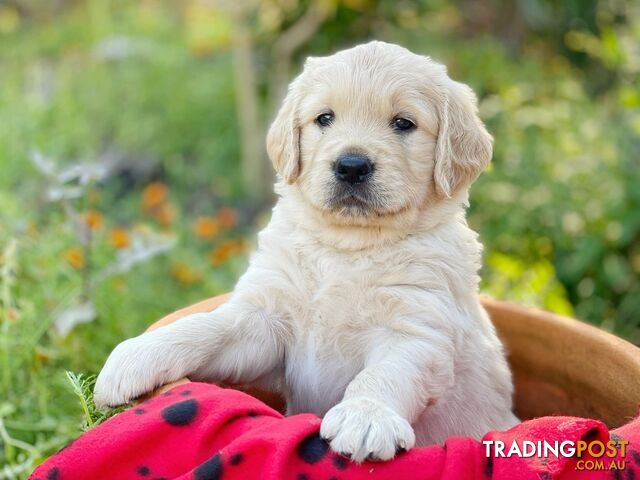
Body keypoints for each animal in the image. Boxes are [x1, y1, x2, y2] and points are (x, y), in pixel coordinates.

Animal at [97, 40, 524, 462]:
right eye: (324, 118)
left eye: (404, 123)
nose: (351, 166)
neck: (348, 247)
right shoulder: (265, 321)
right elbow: (209, 328)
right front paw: (139, 354)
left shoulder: (417, 328)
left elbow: (384, 373)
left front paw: (366, 416)